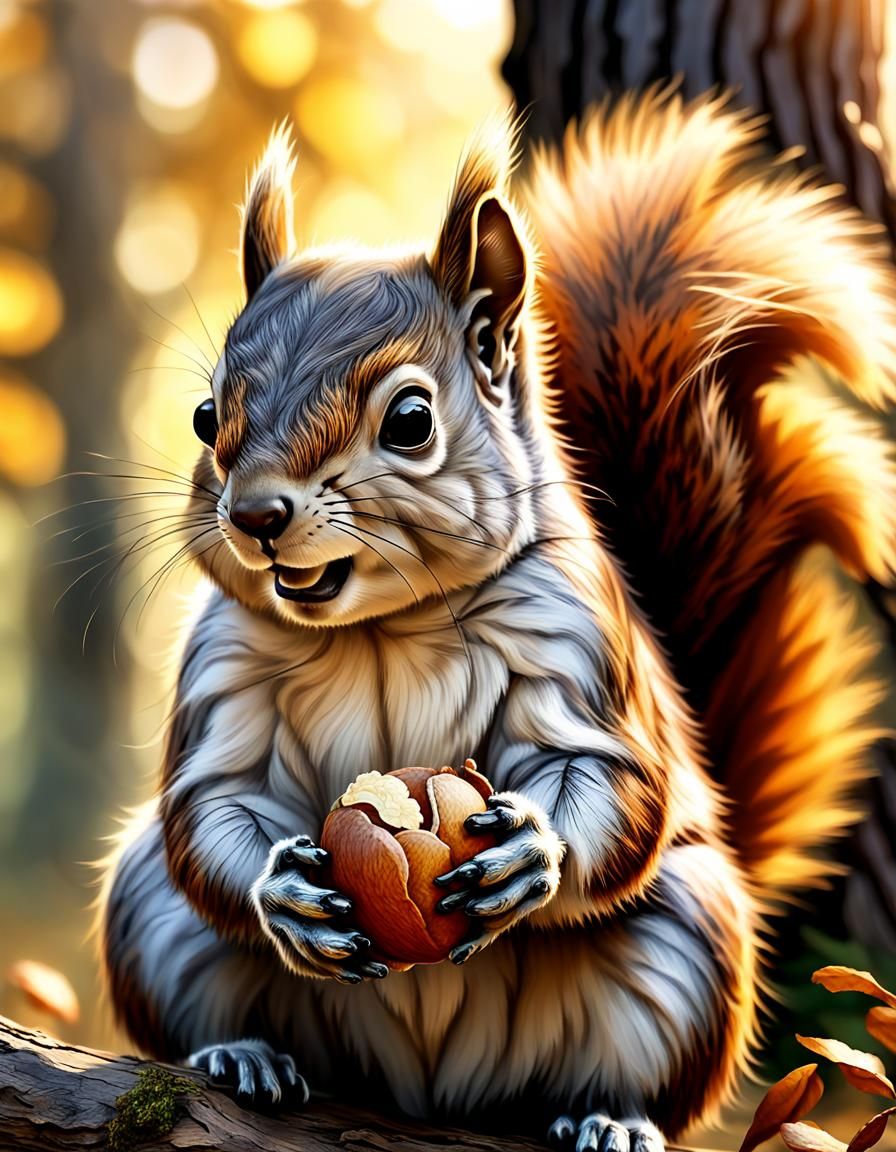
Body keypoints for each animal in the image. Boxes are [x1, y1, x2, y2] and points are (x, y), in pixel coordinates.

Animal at [99, 92, 896, 1150]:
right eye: (203, 417)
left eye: (410, 422)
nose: (256, 515)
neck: (383, 626)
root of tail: (426, 1094)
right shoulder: (221, 662)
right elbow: (209, 801)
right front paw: (284, 892)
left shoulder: (577, 637)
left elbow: (614, 779)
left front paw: (533, 853)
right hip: (153, 918)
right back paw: (243, 1054)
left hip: (687, 951)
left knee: (626, 1064)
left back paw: (609, 1115)